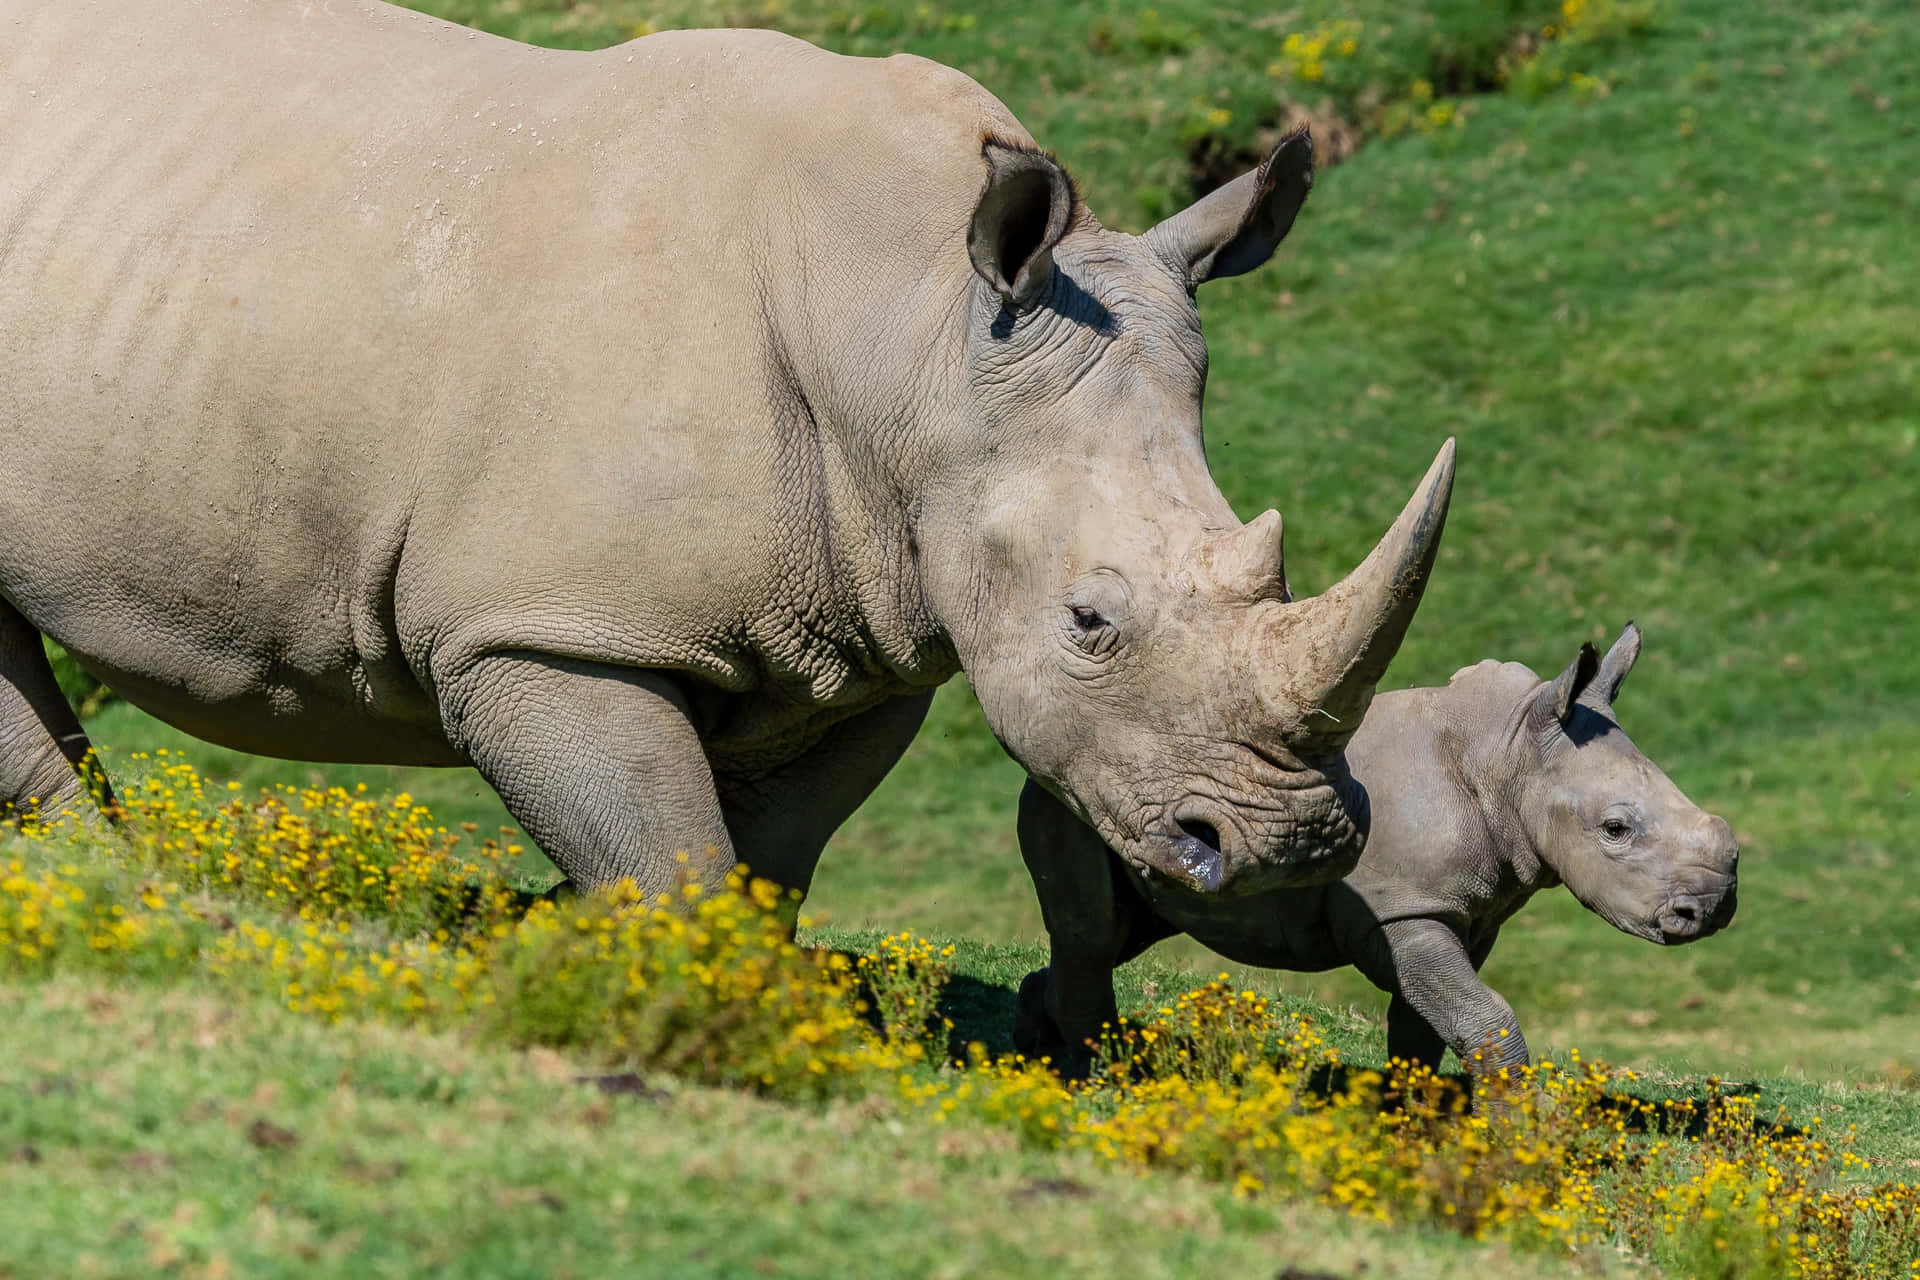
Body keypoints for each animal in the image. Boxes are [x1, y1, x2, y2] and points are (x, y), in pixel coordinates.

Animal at [1021, 625, 1743, 1074]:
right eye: (1615, 830)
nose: (1709, 911)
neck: (1510, 753)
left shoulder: (1465, 909)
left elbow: (1427, 1028)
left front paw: (1410, 1121)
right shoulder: (1405, 906)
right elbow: (1483, 1017)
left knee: (1125, 929)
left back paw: (1034, 1056)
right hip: (1074, 794)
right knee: (1092, 934)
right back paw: (1097, 1079)